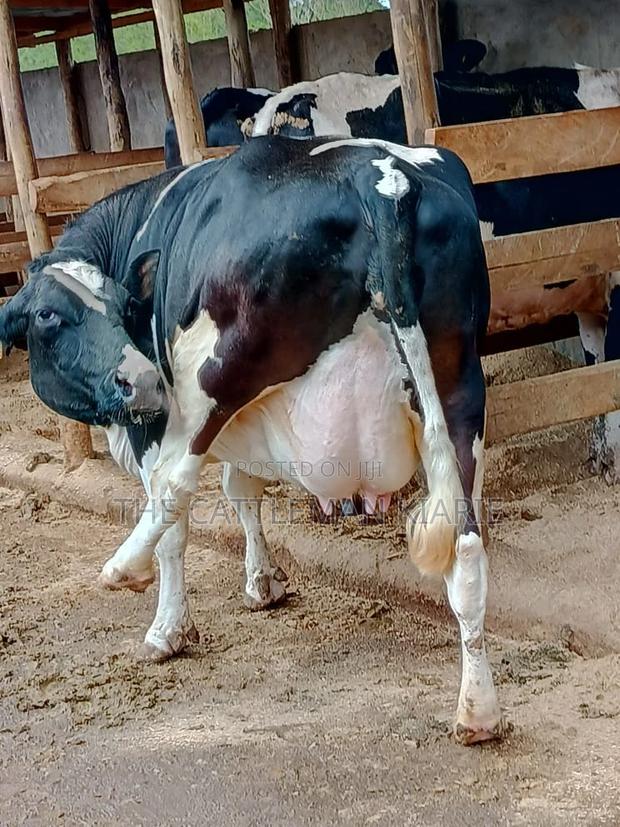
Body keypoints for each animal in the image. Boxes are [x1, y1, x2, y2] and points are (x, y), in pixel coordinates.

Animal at [0, 136, 502, 745]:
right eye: (49, 316)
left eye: (123, 309)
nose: (140, 380)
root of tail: (381, 179)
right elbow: (244, 493)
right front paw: (263, 582)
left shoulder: (154, 426)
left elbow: (181, 523)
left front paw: (169, 630)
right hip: (459, 390)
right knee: (468, 545)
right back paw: (477, 710)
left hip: (213, 380)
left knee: (174, 487)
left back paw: (124, 567)